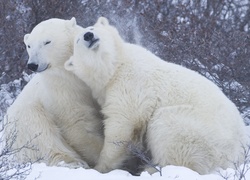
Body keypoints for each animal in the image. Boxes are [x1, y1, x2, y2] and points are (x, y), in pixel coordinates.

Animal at [4, 17, 103, 168]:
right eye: (29, 46)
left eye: (47, 42)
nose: (32, 64)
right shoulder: (61, 89)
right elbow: (78, 122)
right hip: (25, 119)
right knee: (42, 135)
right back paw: (73, 162)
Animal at [64, 17, 248, 174]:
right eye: (78, 40)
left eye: (92, 28)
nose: (88, 36)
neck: (116, 67)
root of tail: (238, 156)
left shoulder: (131, 84)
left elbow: (122, 124)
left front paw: (100, 167)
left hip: (200, 133)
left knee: (167, 128)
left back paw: (151, 168)